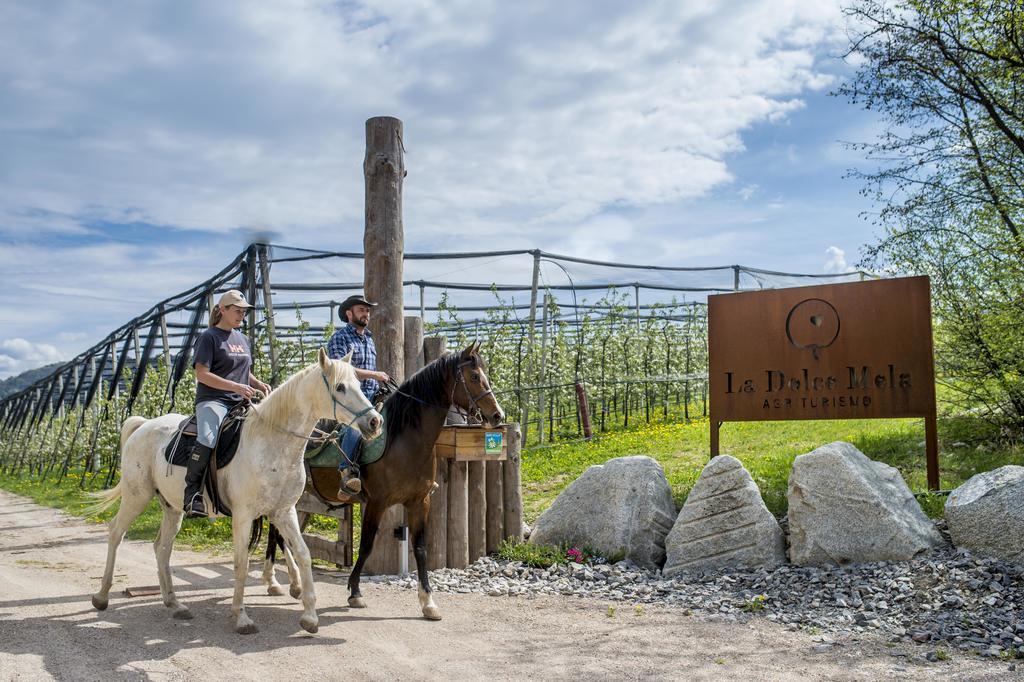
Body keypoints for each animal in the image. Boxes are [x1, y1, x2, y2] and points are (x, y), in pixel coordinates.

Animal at [86, 348, 382, 634]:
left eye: (359, 383)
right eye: (340, 387)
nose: (375, 422)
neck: (272, 442)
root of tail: (143, 425)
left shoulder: (283, 512)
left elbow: (303, 554)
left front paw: (309, 616)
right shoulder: (243, 515)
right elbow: (241, 563)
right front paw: (241, 618)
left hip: (172, 508)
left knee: (162, 547)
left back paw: (174, 603)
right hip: (137, 496)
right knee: (116, 533)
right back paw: (102, 596)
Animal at [264, 339, 503, 614]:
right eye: (474, 376)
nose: (497, 415)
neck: (405, 440)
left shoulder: (420, 502)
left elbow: (420, 548)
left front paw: (428, 601)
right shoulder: (376, 503)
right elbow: (367, 545)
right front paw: (355, 592)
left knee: (278, 533)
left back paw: (285, 582)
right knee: (276, 533)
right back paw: (282, 583)